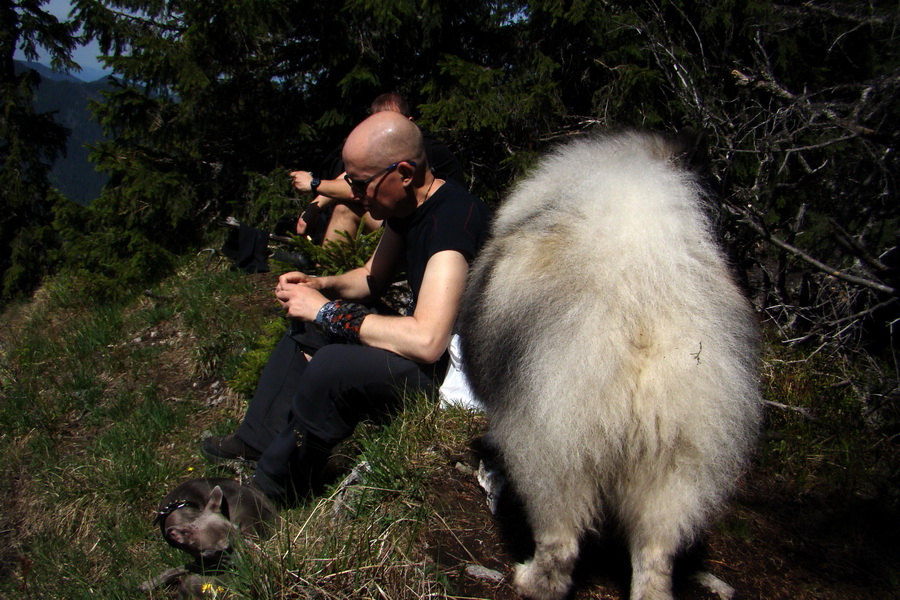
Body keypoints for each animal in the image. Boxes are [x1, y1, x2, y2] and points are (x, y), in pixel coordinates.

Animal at [458, 131, 760, 600]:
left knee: (561, 542)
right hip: (678, 459)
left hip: (553, 449)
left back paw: (532, 581)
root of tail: (641, 304)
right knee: (656, 553)